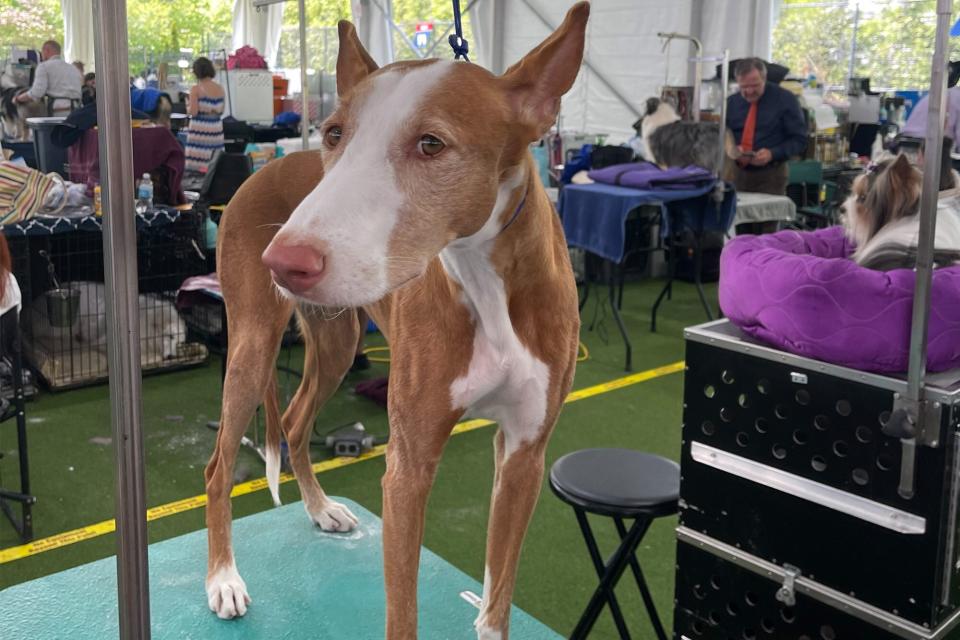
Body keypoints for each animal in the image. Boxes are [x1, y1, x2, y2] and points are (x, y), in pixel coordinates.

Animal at [204, 2, 584, 636]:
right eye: (335, 134)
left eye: (431, 144)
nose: (283, 260)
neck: (484, 284)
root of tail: (259, 172)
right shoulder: (408, 466)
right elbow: (402, 614)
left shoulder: (524, 455)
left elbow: (497, 600)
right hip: (251, 346)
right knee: (219, 465)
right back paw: (223, 579)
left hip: (336, 343)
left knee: (297, 422)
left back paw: (320, 509)